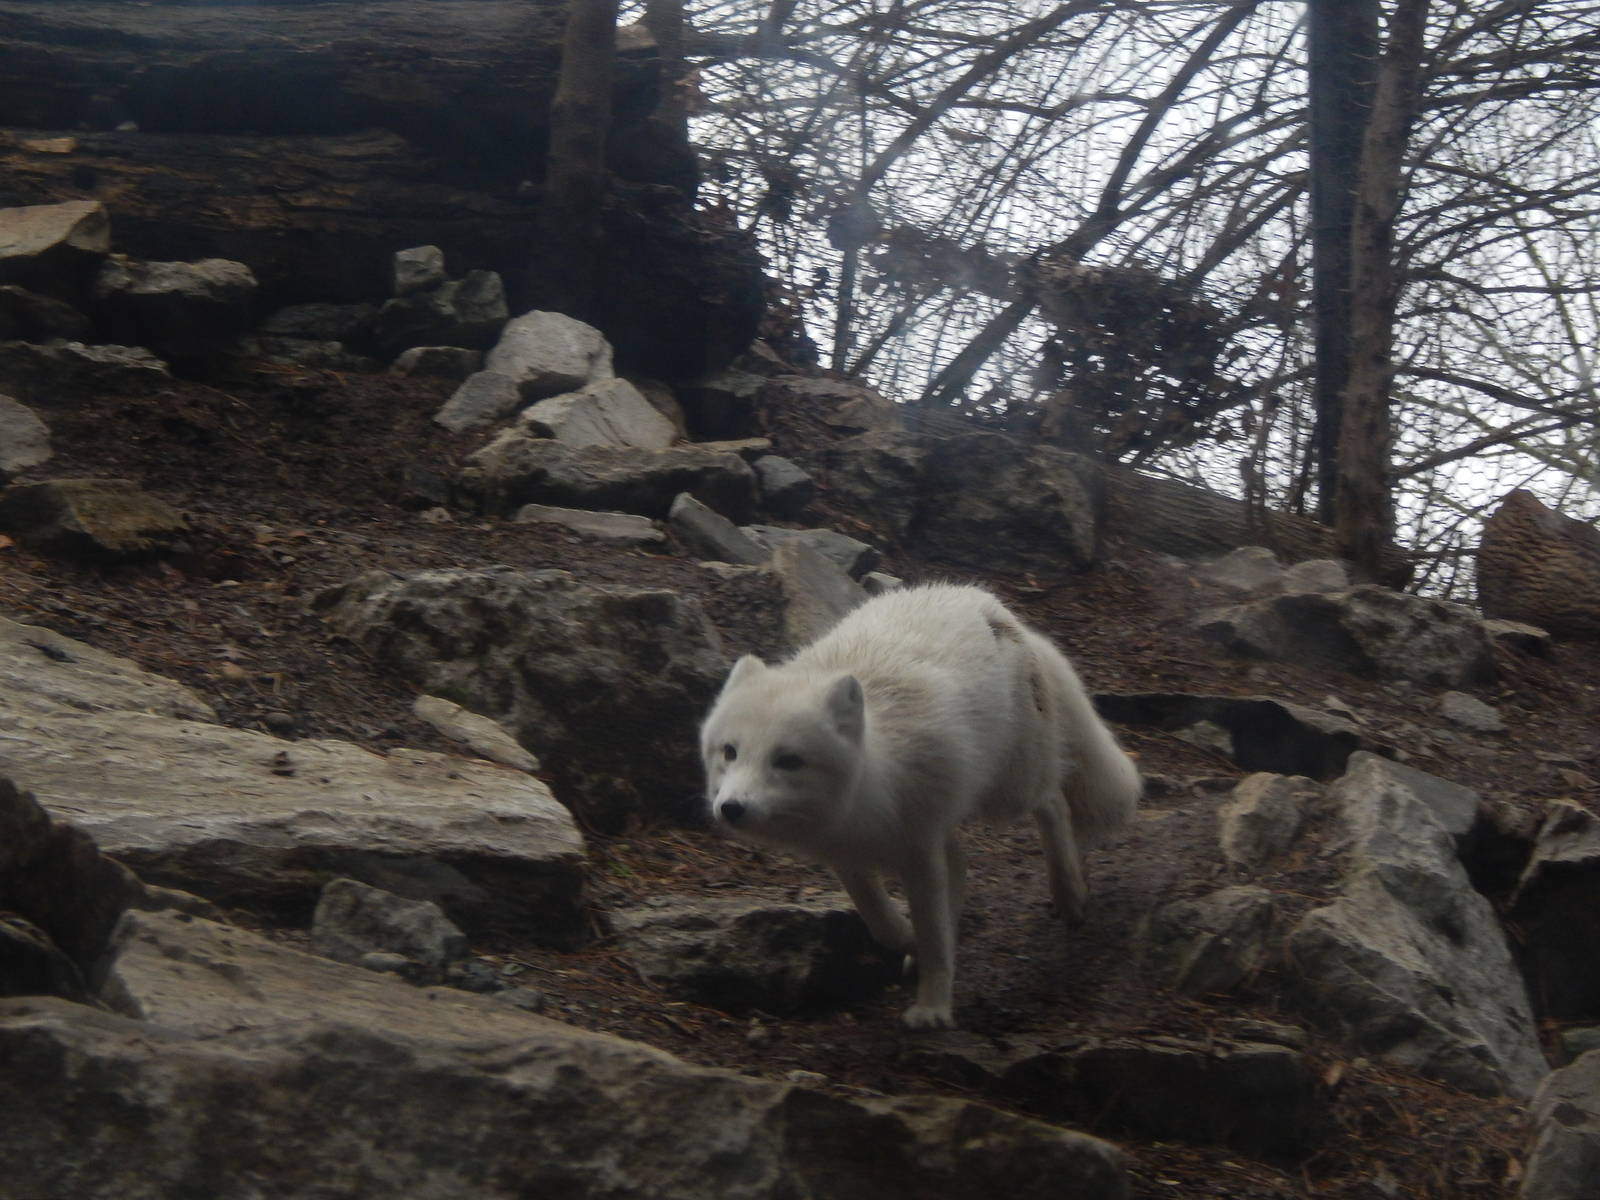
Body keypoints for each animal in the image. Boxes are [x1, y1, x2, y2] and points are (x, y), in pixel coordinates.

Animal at [700, 582, 1141, 1030]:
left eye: (788, 760)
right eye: (730, 752)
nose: (731, 808)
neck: (873, 780)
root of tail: (991, 604)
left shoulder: (918, 851)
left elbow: (932, 937)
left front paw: (932, 1007)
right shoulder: (845, 854)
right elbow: (880, 920)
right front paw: (910, 942)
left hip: (1010, 791)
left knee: (1053, 803)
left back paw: (1069, 894)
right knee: (962, 861)